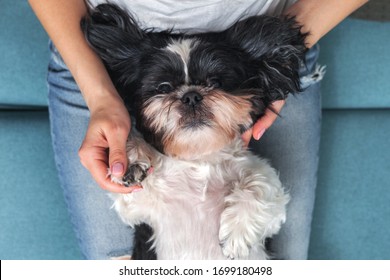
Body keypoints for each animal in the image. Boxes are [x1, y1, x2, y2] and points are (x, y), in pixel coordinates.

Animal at [81, 2, 308, 260]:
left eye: (216, 82)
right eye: (164, 87)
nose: (191, 96)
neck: (197, 158)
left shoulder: (271, 202)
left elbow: (259, 184)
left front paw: (235, 235)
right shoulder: (139, 210)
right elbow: (129, 187)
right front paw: (131, 159)